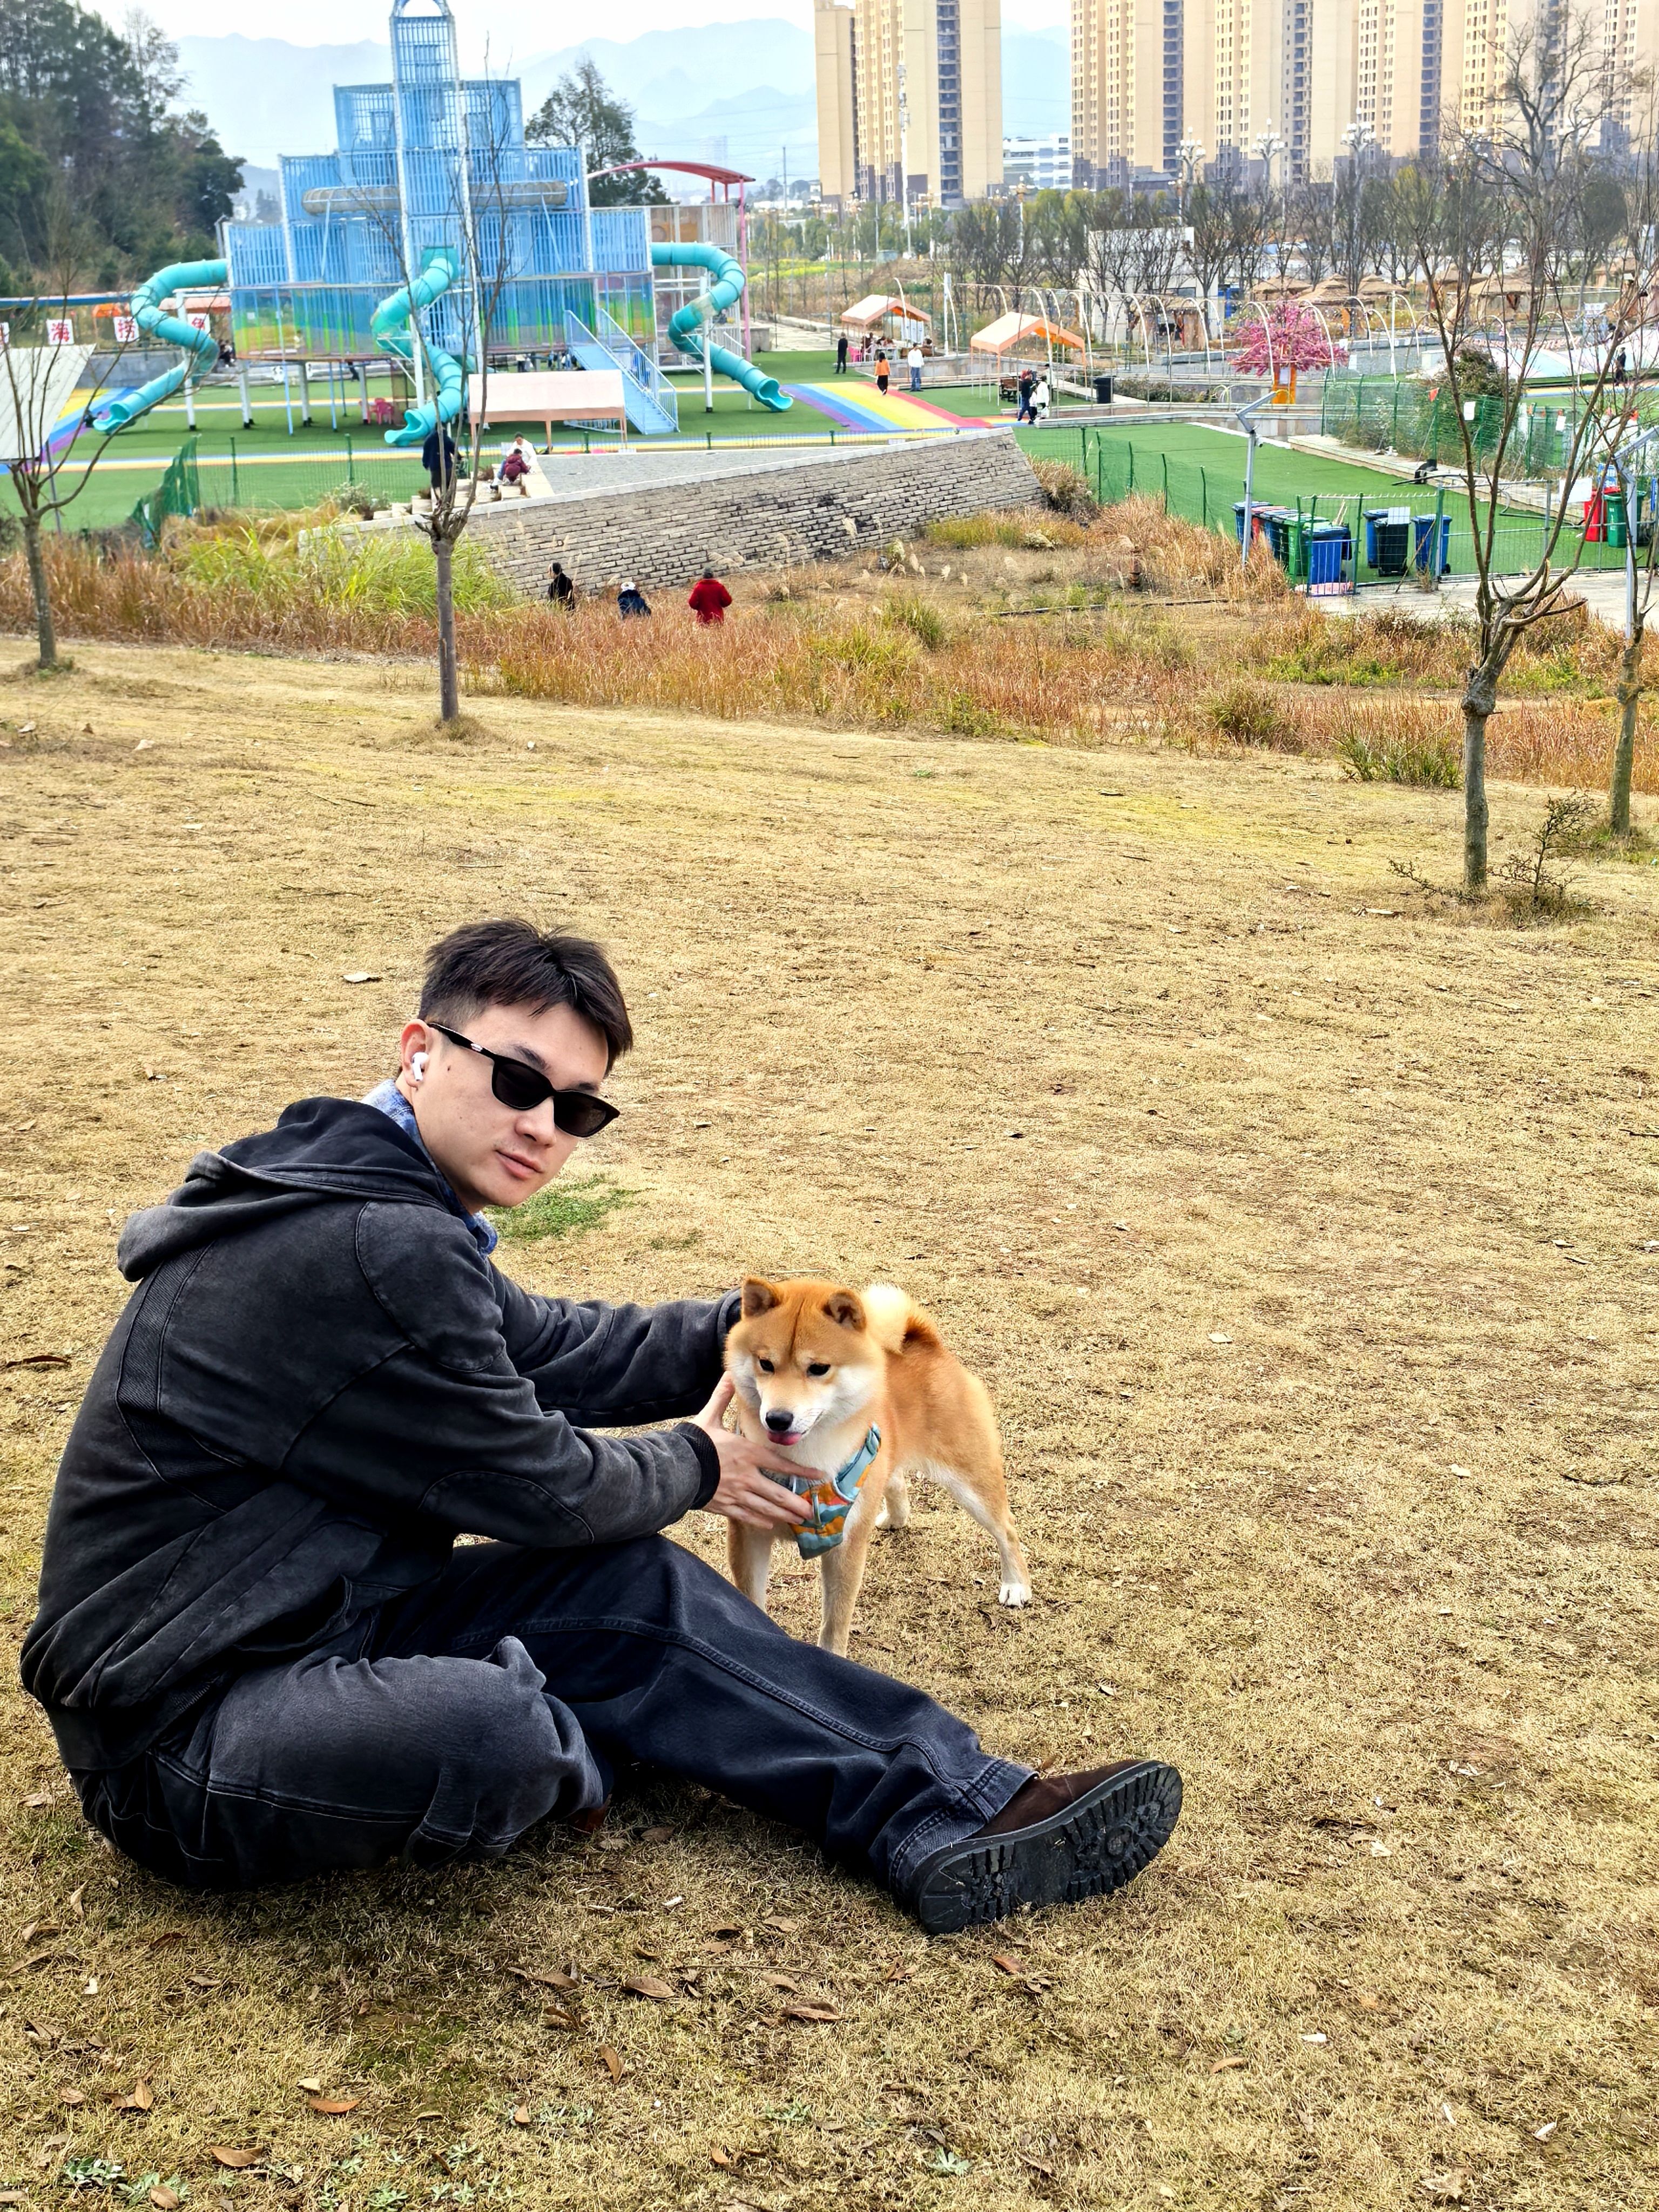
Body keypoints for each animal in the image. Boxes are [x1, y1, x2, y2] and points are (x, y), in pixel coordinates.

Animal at [723, 1275, 1031, 1655]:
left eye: (819, 1369)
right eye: (765, 1363)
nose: (778, 1419)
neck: (801, 1464)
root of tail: (926, 1342)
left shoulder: (845, 1543)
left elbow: (836, 1621)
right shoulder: (748, 1533)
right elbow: (750, 1599)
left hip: (970, 1478)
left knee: (1007, 1528)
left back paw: (1016, 1584)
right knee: (896, 1480)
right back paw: (896, 1518)